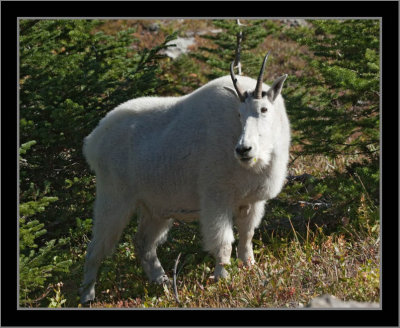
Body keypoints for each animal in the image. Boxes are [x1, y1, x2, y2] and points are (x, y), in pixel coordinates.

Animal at [79, 52, 290, 304]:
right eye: (239, 114)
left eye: (264, 109)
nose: (243, 149)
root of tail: (92, 141)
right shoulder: (216, 197)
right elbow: (223, 241)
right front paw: (222, 279)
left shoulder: (251, 200)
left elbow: (247, 235)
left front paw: (249, 267)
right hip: (114, 196)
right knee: (95, 248)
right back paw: (87, 295)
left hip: (155, 207)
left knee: (143, 243)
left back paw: (163, 282)